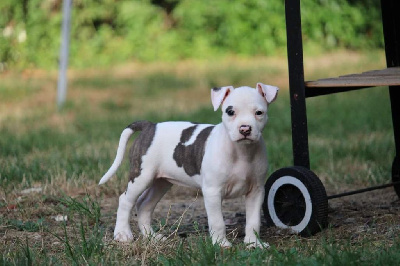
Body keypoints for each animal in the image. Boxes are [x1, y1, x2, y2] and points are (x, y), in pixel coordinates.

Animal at [98, 82, 278, 248]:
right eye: (230, 112)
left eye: (259, 113)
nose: (245, 129)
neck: (242, 151)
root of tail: (150, 126)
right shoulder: (213, 191)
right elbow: (218, 221)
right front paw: (221, 244)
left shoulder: (256, 191)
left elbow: (254, 221)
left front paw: (254, 243)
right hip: (142, 176)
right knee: (125, 200)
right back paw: (122, 234)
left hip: (161, 182)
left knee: (144, 205)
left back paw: (151, 237)